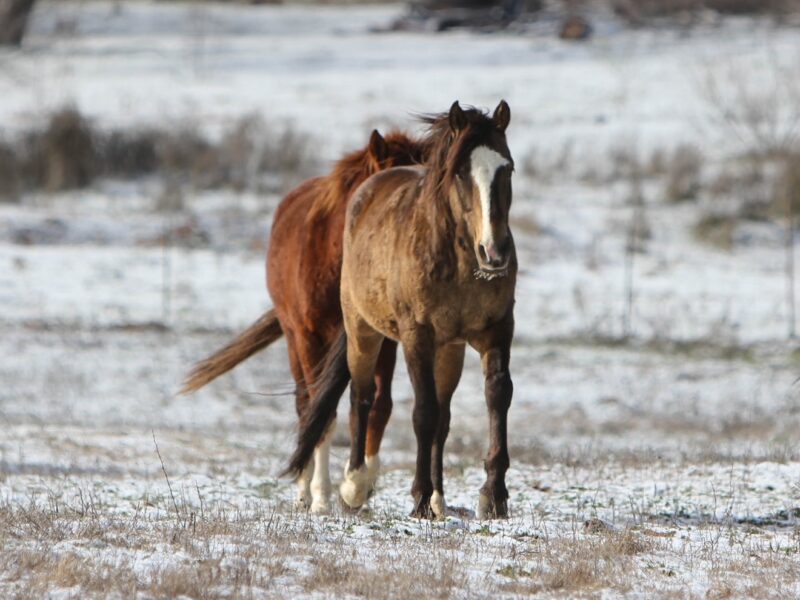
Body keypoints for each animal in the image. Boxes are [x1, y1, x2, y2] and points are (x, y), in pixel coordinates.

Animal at [182, 129, 428, 512]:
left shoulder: (382, 338)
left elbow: (379, 405)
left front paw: (361, 487)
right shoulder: (309, 336)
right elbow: (321, 413)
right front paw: (322, 497)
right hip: (294, 338)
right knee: (303, 405)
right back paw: (303, 489)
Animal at [288, 101, 520, 516]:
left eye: (506, 167)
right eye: (461, 172)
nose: (494, 252)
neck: (458, 261)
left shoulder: (495, 331)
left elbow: (496, 397)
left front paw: (493, 496)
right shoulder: (417, 337)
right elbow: (422, 412)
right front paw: (420, 498)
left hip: (450, 348)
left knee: (444, 414)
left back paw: (441, 500)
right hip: (363, 331)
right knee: (361, 397)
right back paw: (354, 486)